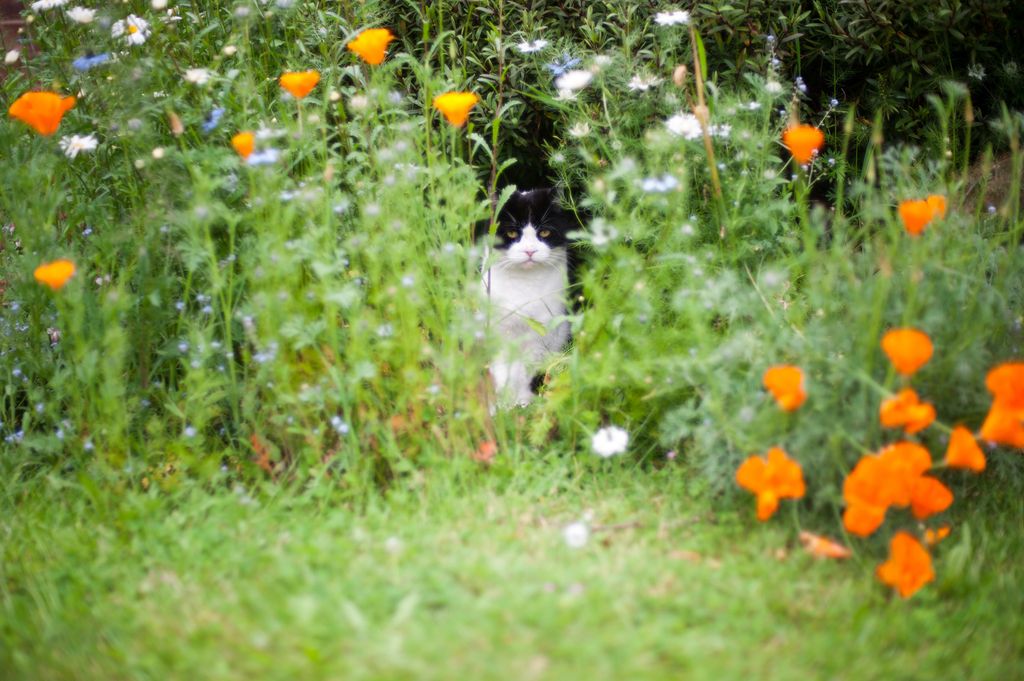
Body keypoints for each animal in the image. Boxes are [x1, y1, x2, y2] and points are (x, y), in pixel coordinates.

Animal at [477, 188, 577, 405]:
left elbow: (525, 371)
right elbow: (502, 370)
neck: (525, 286)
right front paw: (502, 405)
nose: (529, 250)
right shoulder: (499, 333)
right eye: (512, 233)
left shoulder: (540, 337)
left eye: (544, 232)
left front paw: (522, 402)